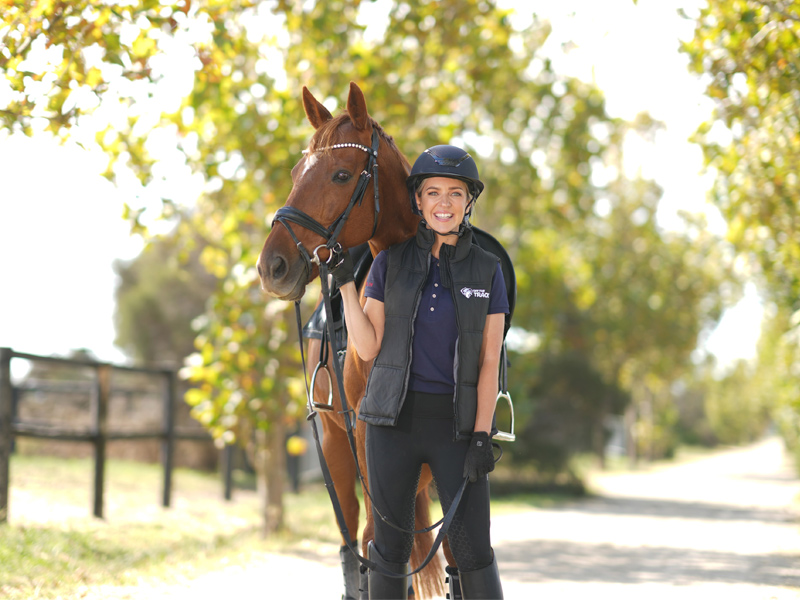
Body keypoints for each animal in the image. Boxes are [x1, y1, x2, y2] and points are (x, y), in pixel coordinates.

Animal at [256, 83, 444, 600]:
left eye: (341, 175)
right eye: (296, 173)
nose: (271, 267)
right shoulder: (363, 442)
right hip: (335, 448)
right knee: (351, 540)